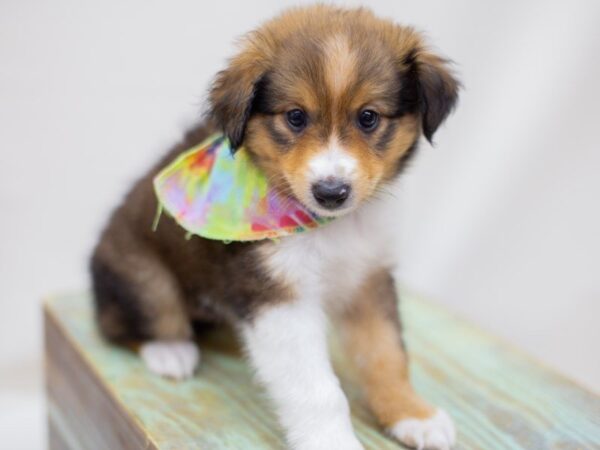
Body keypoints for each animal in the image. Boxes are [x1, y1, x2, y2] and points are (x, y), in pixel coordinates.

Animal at [91, 4, 460, 450]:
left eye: (369, 118)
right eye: (295, 117)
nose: (331, 192)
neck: (331, 229)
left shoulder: (367, 279)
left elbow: (387, 355)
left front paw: (412, 414)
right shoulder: (278, 299)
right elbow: (319, 390)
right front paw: (332, 441)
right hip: (146, 279)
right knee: (122, 322)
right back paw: (171, 351)